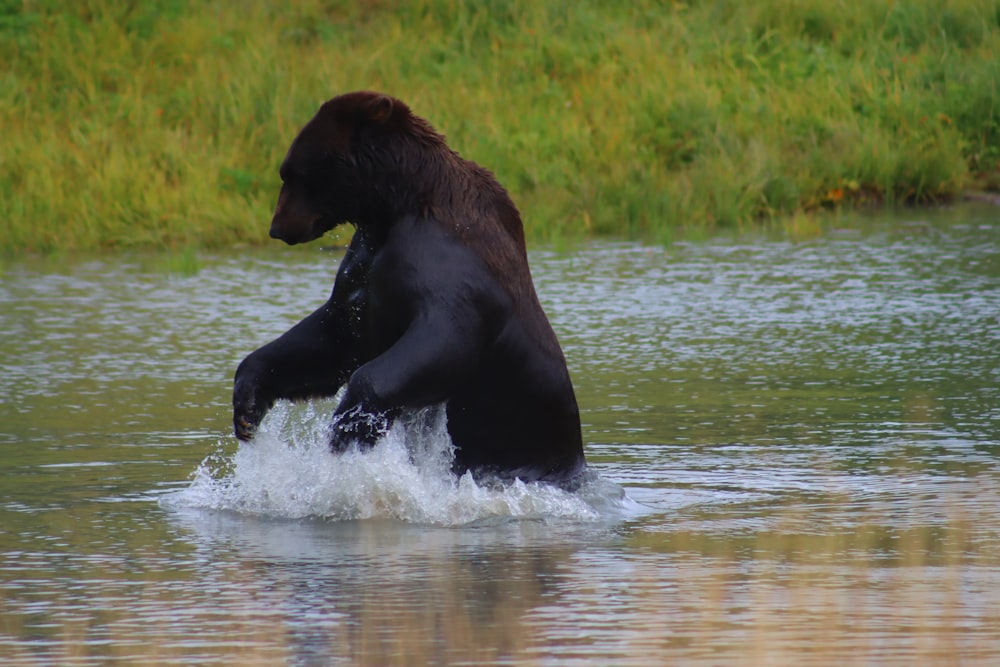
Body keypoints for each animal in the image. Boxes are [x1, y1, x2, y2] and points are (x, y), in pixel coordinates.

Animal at [233, 90, 584, 486]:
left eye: (294, 172)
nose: (277, 227)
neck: (393, 206)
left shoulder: (448, 268)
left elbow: (442, 343)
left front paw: (349, 427)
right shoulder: (364, 270)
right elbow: (332, 335)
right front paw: (247, 404)